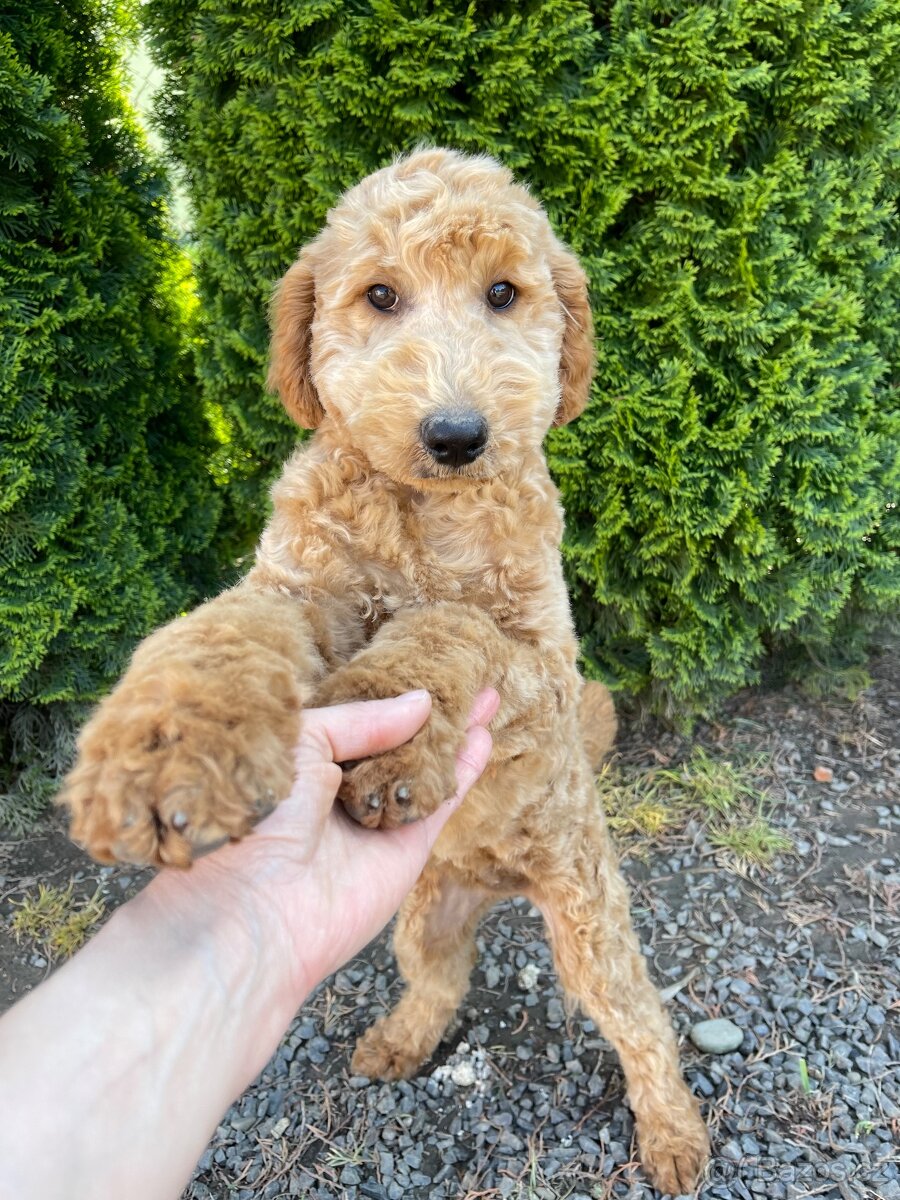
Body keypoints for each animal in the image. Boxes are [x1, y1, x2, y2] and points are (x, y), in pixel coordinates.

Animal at [63, 147, 710, 1190]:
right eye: (379, 295)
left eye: (503, 293)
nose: (455, 434)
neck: (421, 509)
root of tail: (500, 878)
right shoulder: (298, 585)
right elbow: (222, 634)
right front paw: (164, 750)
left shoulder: (543, 660)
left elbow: (451, 625)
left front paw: (397, 739)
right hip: (423, 914)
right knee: (440, 982)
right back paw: (400, 1042)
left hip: (587, 916)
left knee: (638, 1019)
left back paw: (675, 1135)